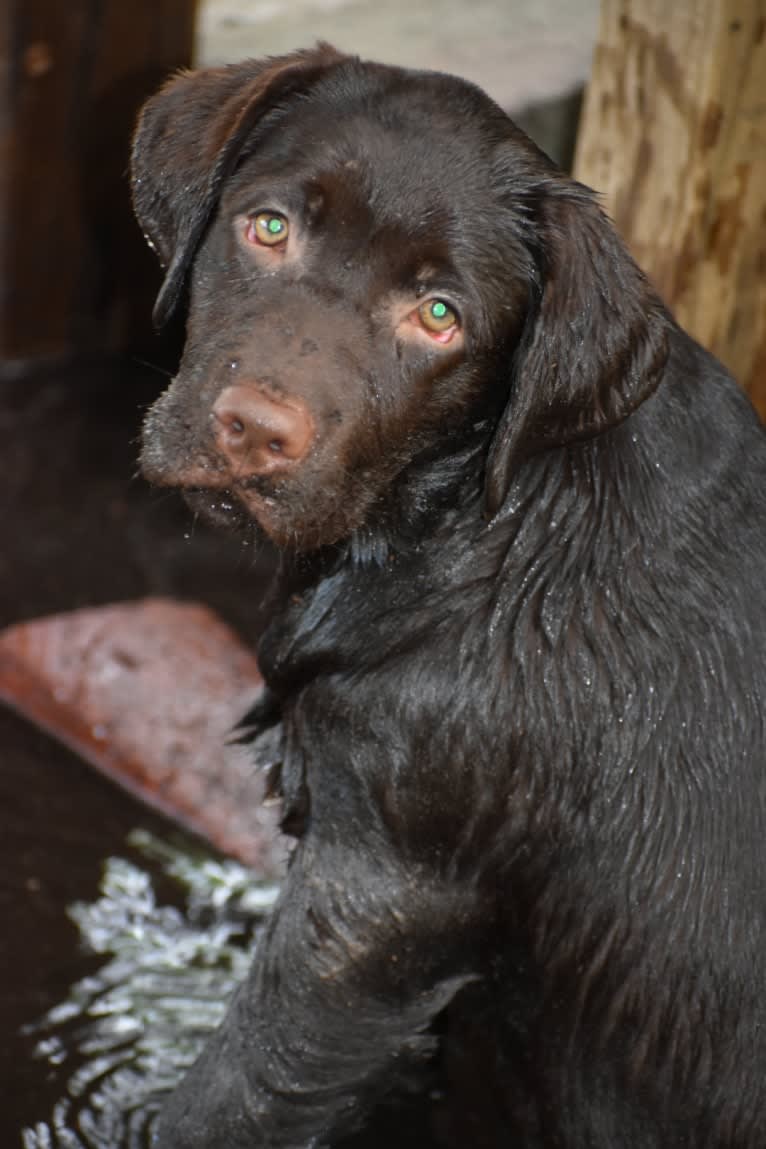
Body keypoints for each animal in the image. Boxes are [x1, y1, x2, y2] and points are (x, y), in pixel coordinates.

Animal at [132, 42, 766, 1139]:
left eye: (439, 319)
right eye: (269, 227)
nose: (252, 432)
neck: (469, 524)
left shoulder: (376, 901)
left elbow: (227, 1099)